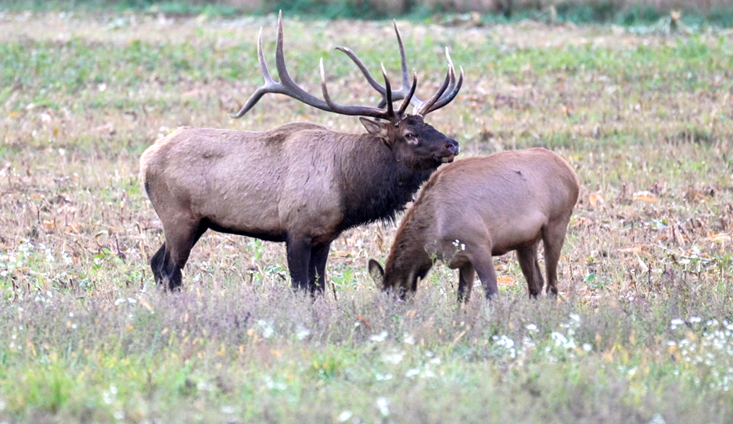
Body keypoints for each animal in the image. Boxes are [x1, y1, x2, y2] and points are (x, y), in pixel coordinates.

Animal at [140, 13, 464, 294]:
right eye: (409, 135)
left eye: (429, 124)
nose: (452, 144)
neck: (348, 188)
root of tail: (145, 160)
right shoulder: (296, 229)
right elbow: (301, 286)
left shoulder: (324, 237)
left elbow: (317, 288)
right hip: (177, 215)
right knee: (170, 269)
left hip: (197, 222)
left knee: (157, 264)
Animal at [368, 148, 579, 302]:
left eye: (395, 297)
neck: (433, 235)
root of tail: (571, 173)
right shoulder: (464, 258)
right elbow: (462, 298)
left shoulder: (479, 246)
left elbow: (492, 295)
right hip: (526, 241)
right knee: (536, 282)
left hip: (557, 223)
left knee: (552, 284)